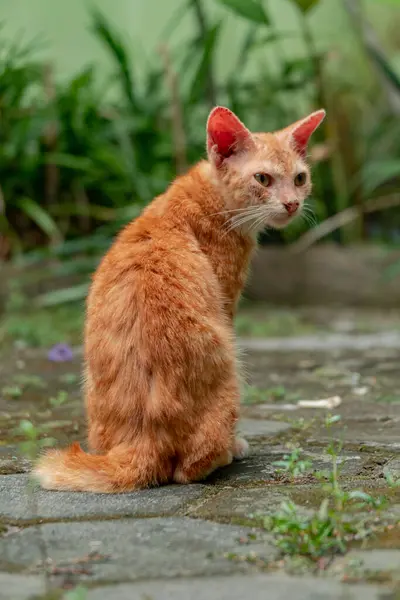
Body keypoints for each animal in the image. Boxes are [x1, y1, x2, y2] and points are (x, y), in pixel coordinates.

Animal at [33, 106, 324, 492]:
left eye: (300, 177)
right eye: (263, 179)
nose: (292, 203)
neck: (211, 198)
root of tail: (141, 443)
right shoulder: (227, 300)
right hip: (228, 361)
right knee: (188, 470)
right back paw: (228, 450)